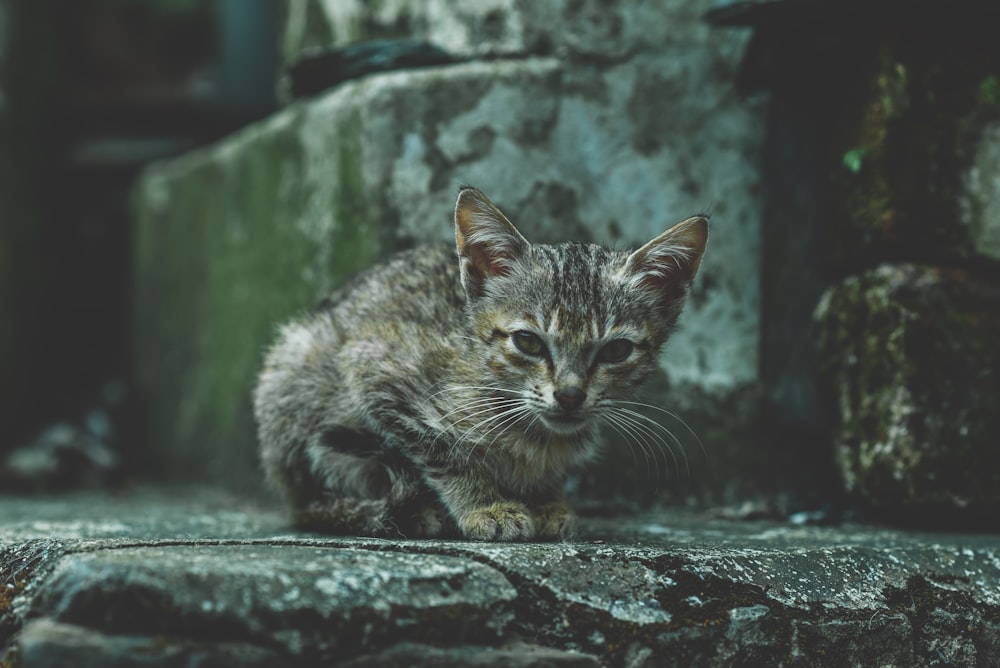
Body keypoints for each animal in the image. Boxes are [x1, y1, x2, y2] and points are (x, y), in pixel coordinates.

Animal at [254, 185, 708, 540]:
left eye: (616, 351)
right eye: (528, 341)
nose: (569, 395)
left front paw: (547, 499)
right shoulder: (374, 367)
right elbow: (443, 451)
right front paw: (486, 506)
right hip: (296, 371)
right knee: (310, 503)